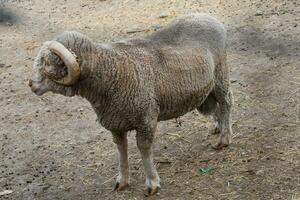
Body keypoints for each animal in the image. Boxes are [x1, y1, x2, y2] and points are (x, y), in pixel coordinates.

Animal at [28, 13, 234, 195]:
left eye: (48, 64)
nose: (31, 84)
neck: (112, 72)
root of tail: (209, 17)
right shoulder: (116, 123)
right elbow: (122, 150)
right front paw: (122, 181)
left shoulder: (146, 119)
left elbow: (144, 149)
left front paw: (152, 183)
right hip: (205, 91)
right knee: (215, 108)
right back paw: (219, 128)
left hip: (220, 75)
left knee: (226, 103)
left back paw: (224, 139)